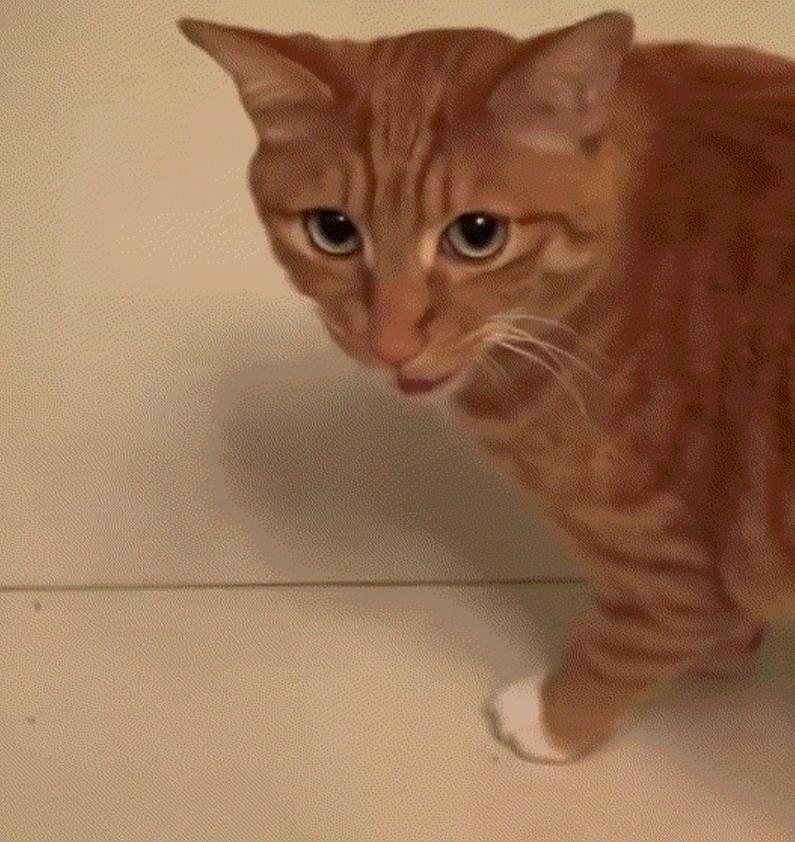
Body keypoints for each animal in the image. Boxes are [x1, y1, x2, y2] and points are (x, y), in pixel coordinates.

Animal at [178, 11, 795, 763]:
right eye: (333, 231)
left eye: (477, 235)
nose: (391, 345)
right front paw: (732, 644)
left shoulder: (661, 563)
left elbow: (623, 645)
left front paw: (555, 720)